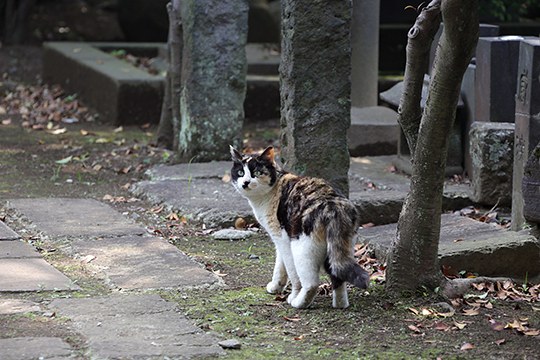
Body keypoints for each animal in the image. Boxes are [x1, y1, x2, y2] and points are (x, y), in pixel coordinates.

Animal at [230, 145, 370, 308]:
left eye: (257, 173)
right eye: (240, 173)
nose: (245, 182)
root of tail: (333, 205)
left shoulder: (282, 239)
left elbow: (291, 272)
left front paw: (292, 294)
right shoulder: (281, 239)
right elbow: (280, 265)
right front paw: (276, 286)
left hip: (302, 248)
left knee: (311, 283)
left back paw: (299, 303)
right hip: (338, 248)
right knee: (338, 275)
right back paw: (340, 305)